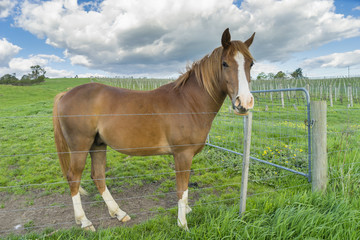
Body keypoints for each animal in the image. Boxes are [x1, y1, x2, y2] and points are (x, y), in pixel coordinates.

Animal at [54, 28, 256, 231]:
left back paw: (119, 213)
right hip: (80, 146)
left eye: (251, 63)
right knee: (73, 177)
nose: (244, 102)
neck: (189, 102)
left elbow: (185, 187)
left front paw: (186, 211)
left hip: (98, 145)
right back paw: (84, 221)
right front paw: (183, 223)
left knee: (98, 176)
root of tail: (66, 94)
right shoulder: (183, 154)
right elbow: (182, 189)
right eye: (225, 63)